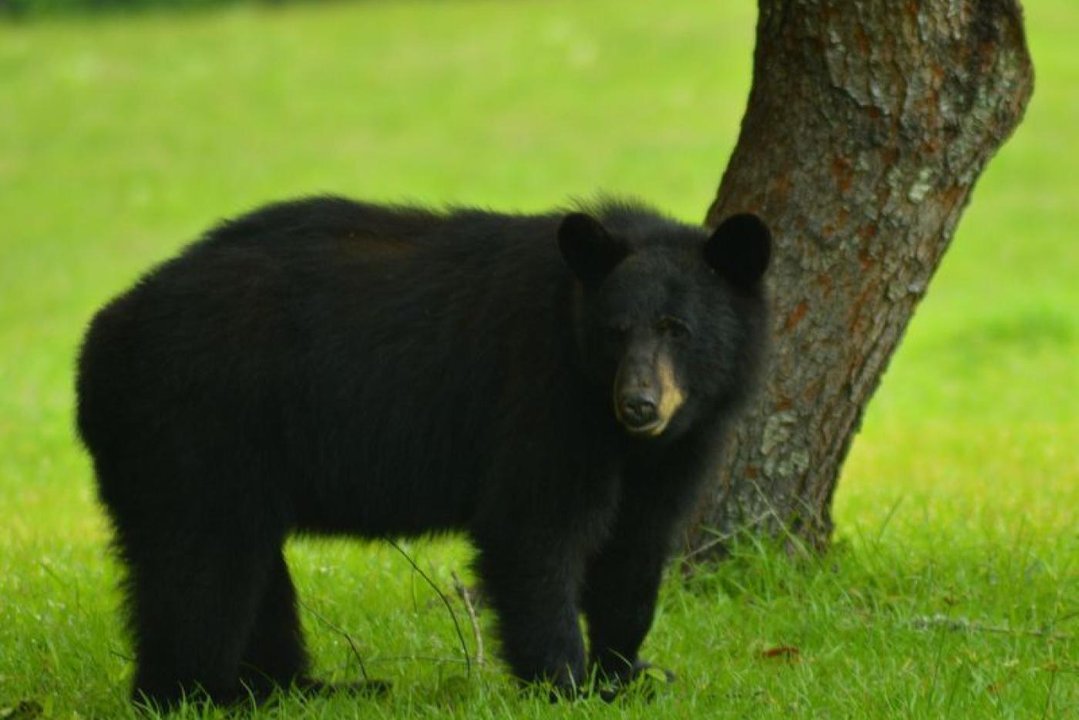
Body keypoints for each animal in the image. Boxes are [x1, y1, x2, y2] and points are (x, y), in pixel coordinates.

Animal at [75, 196, 771, 706]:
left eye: (678, 331)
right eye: (615, 331)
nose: (640, 405)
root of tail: (102, 336)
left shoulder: (676, 449)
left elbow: (636, 548)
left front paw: (627, 674)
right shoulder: (543, 398)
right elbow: (534, 531)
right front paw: (565, 683)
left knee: (250, 569)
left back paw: (307, 686)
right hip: (194, 426)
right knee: (201, 565)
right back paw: (199, 693)